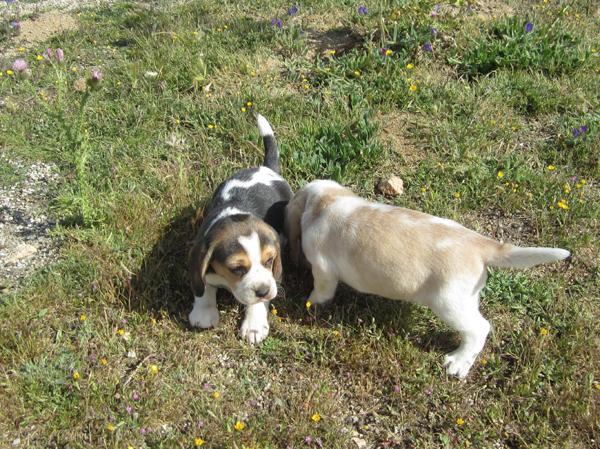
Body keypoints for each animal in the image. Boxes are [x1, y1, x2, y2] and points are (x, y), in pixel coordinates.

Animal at [188, 114, 290, 344]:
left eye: (269, 261)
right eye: (237, 269)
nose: (263, 291)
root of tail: (266, 168)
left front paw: (254, 326)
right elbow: (203, 287)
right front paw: (203, 313)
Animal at [288, 178, 568, 378]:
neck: (327, 200)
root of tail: (481, 244)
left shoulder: (323, 270)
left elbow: (321, 290)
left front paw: (310, 304)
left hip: (449, 303)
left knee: (479, 328)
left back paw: (458, 363)